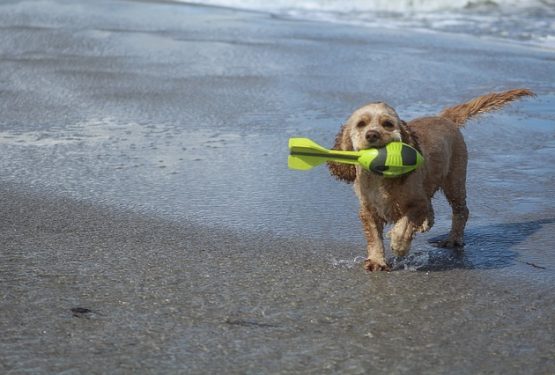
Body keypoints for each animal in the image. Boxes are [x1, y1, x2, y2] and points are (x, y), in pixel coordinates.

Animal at [328, 89, 536, 270]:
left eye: (387, 124)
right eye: (361, 124)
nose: (372, 134)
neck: (380, 177)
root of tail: (444, 117)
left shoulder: (418, 203)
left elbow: (404, 225)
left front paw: (399, 244)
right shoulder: (368, 210)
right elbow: (374, 237)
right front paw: (377, 261)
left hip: (455, 182)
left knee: (461, 211)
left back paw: (452, 239)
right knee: (434, 213)